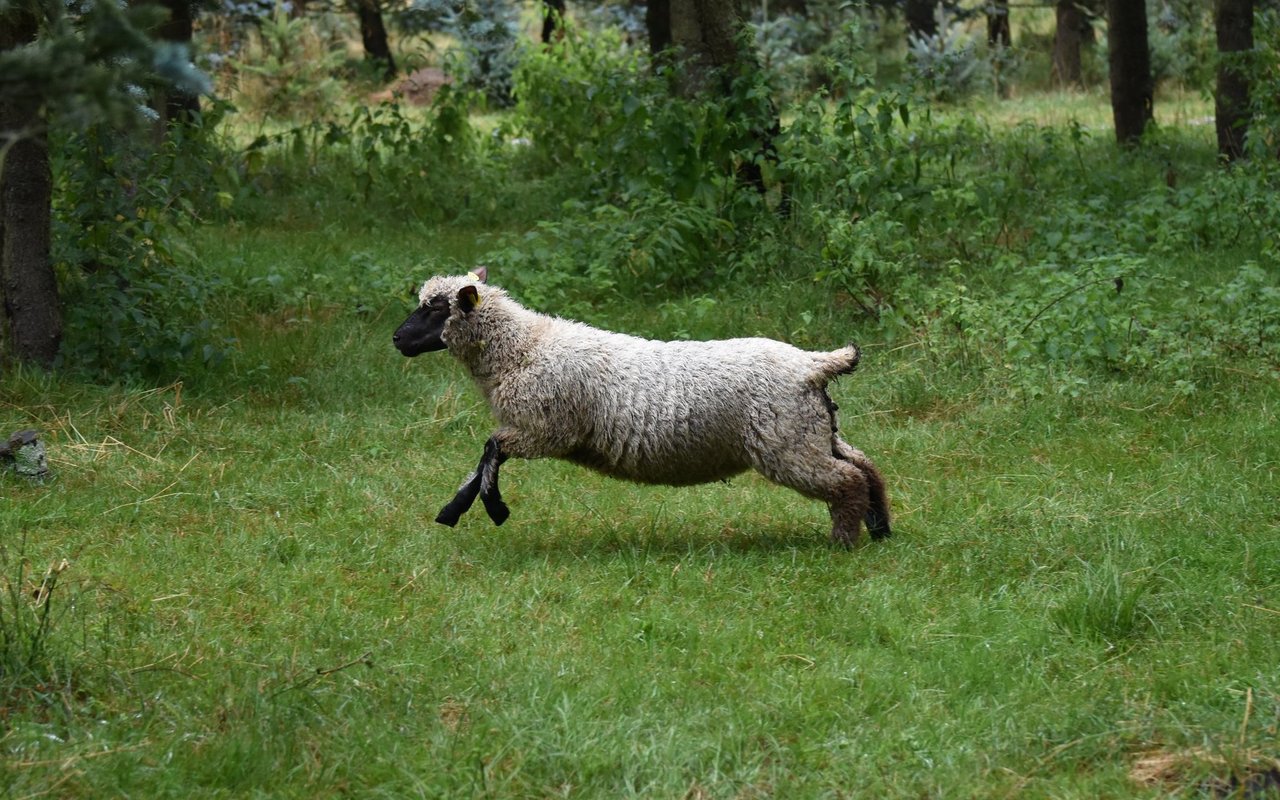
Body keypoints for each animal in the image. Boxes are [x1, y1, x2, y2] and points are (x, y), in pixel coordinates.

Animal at [394, 264, 896, 545]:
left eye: (435, 308)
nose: (397, 339)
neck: (522, 347)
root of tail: (815, 363)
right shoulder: (536, 430)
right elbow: (482, 460)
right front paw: (453, 510)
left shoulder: (547, 431)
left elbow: (490, 449)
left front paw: (494, 509)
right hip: (812, 430)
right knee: (866, 468)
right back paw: (880, 530)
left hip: (787, 443)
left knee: (848, 479)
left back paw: (844, 542)